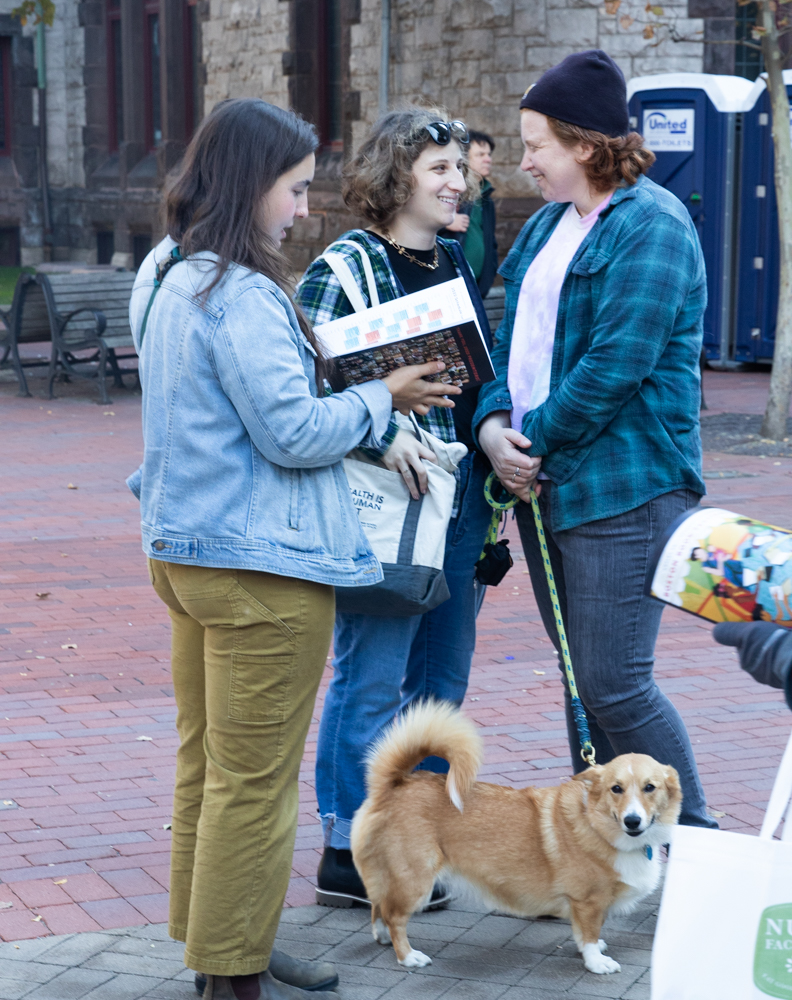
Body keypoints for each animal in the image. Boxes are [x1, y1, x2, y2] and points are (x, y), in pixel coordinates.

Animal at [352, 700, 680, 972]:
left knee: (378, 906)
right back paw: (408, 956)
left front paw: (594, 950)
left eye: (650, 788)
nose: (632, 821)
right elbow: (588, 934)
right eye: (616, 788)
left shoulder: (584, 905)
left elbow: (584, 932)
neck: (598, 824)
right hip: (415, 879)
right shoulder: (587, 901)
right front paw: (597, 962)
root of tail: (394, 784)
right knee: (395, 916)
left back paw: (383, 938)